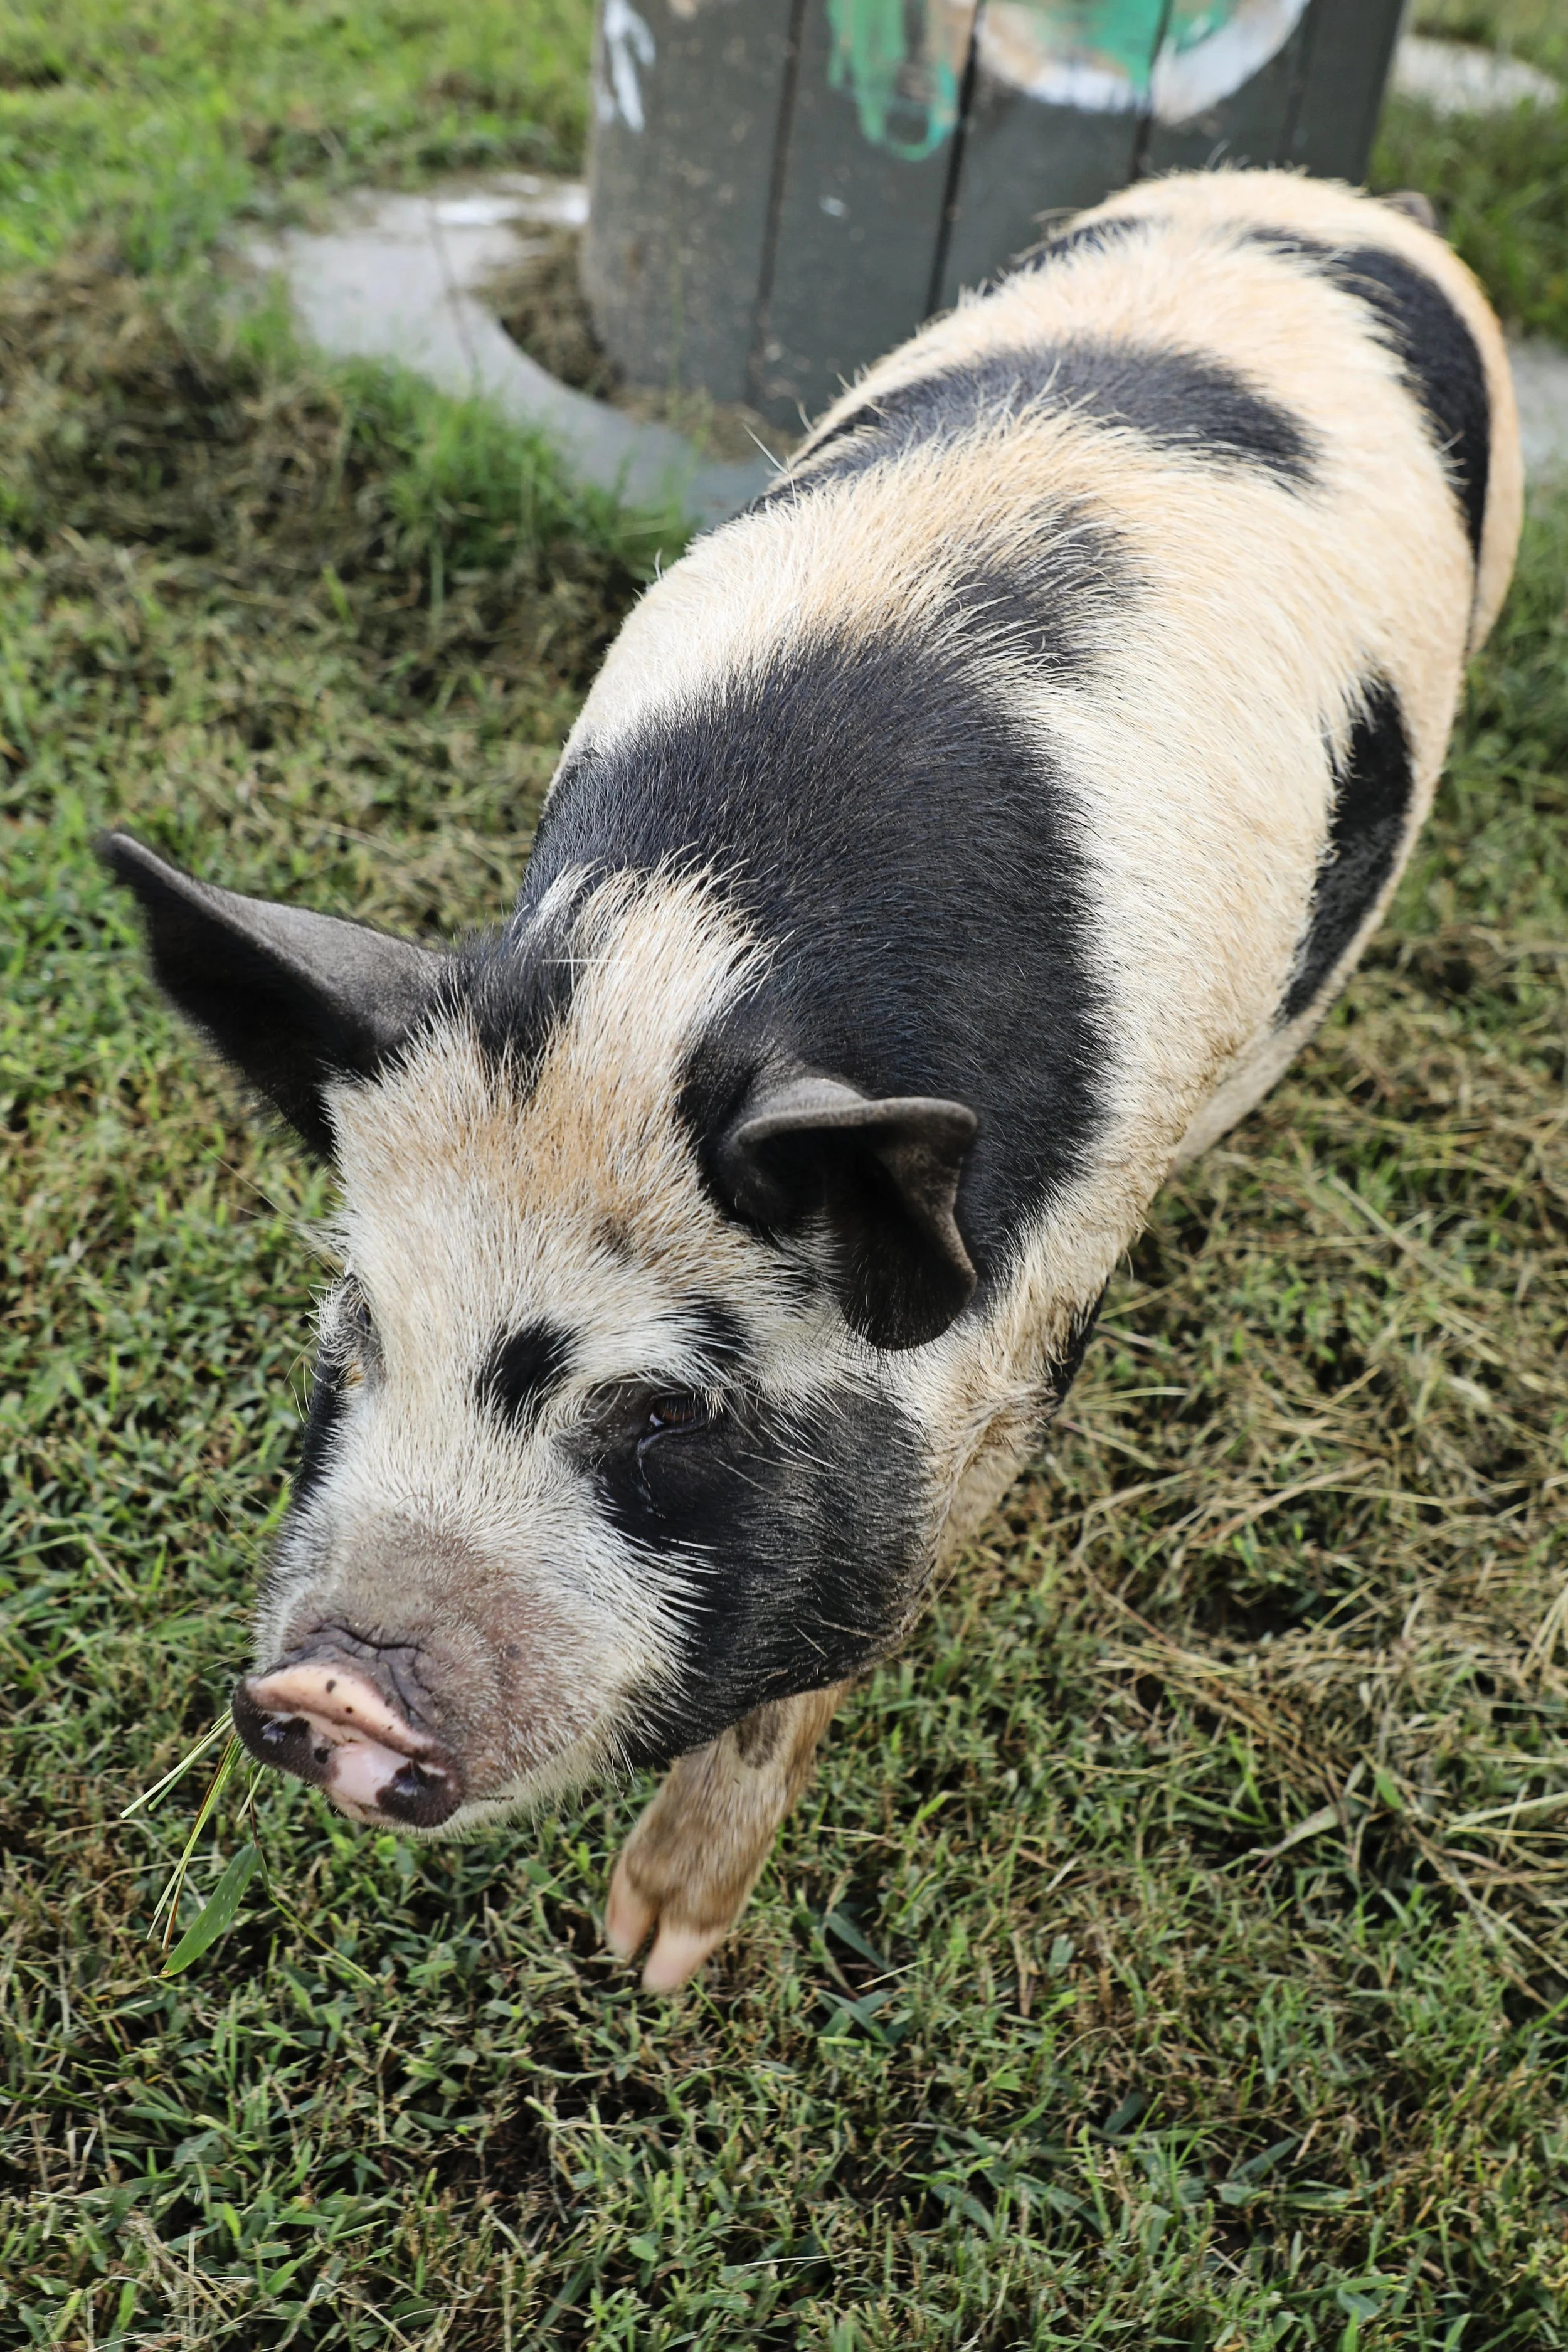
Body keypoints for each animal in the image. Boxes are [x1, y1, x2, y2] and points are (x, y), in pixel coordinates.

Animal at [103, 170, 1521, 1990]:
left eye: (663, 1408)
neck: (682, 965)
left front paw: (653, 1955)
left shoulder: (1027, 1314)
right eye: (355, 1333)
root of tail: (1343, 197)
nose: (327, 1682)